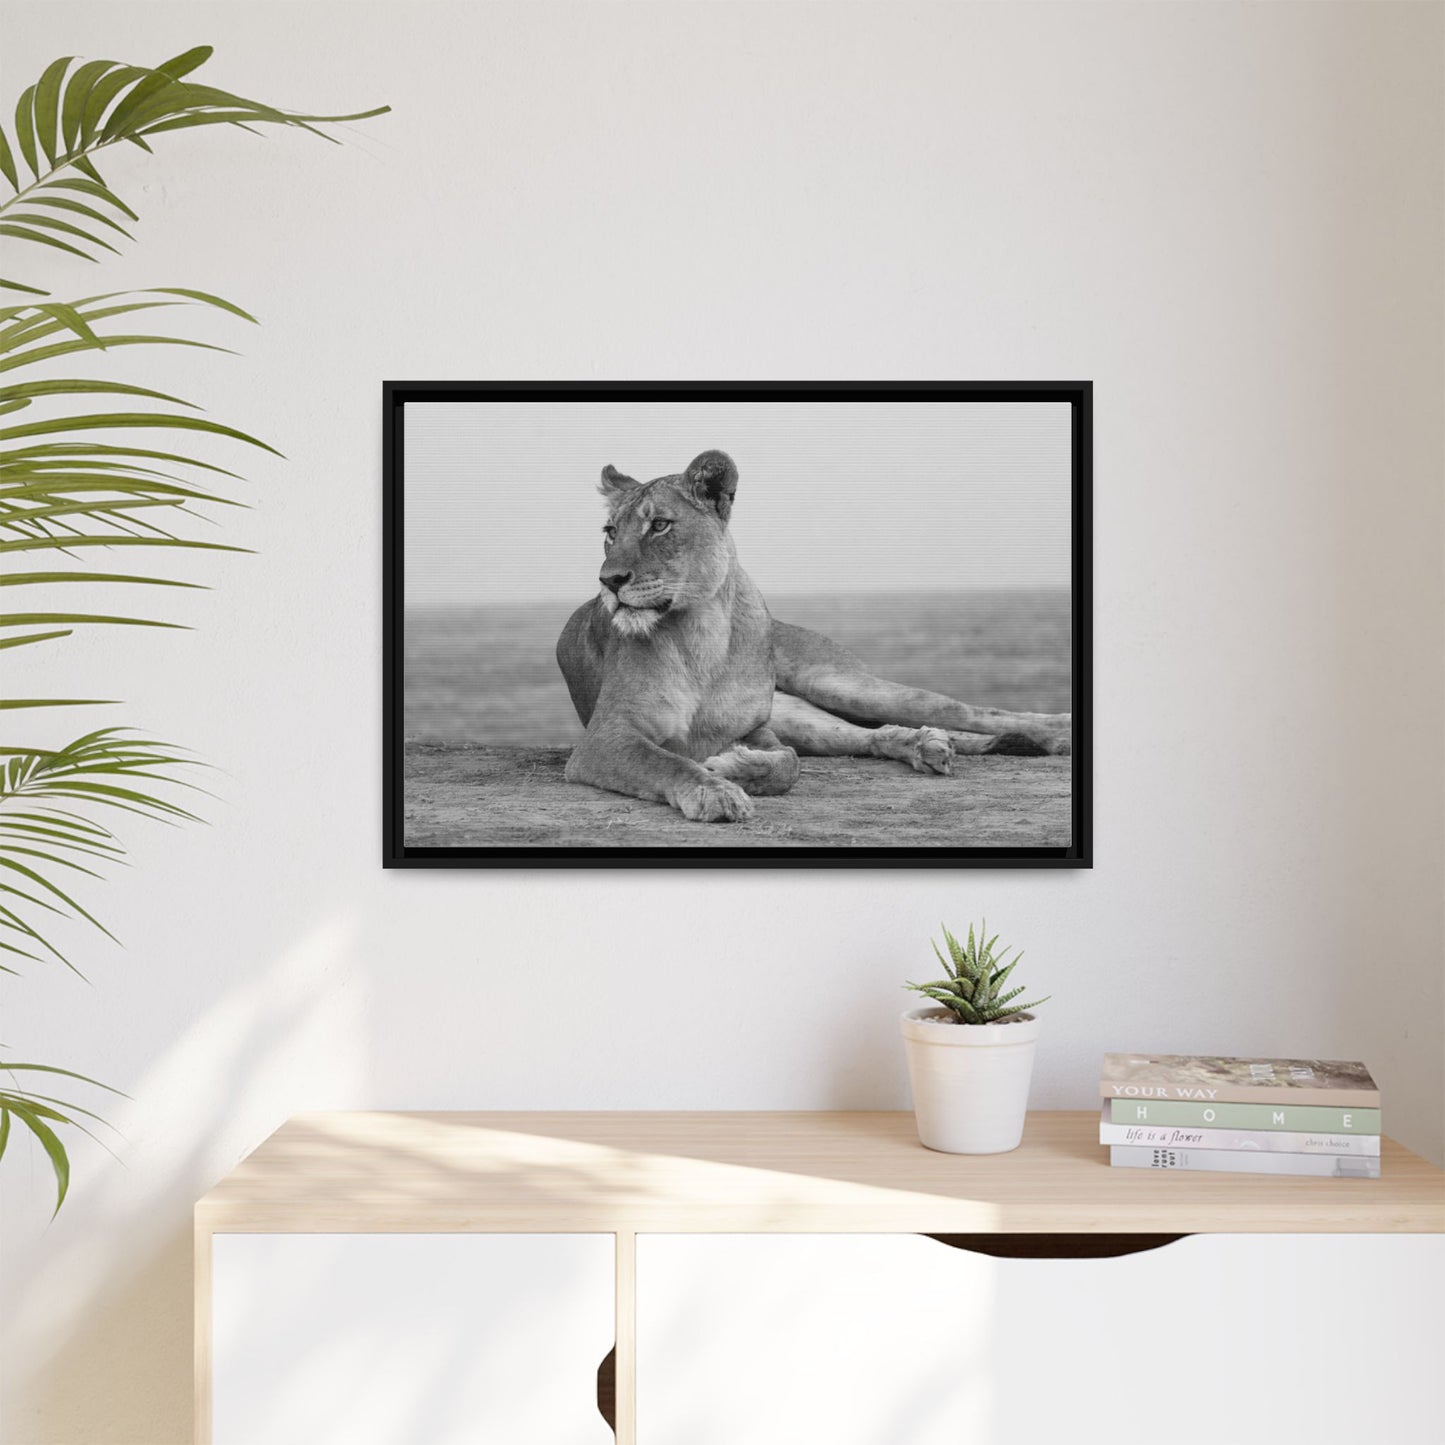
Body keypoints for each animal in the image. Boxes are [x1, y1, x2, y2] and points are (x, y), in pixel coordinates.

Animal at [555, 450, 1071, 823]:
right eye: (610, 532)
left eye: (659, 525)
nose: (608, 581)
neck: (701, 634)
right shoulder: (606, 737)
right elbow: (668, 760)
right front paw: (716, 789)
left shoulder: (755, 728)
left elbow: (789, 765)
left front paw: (729, 768)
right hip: (803, 715)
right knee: (872, 735)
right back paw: (926, 745)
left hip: (837, 683)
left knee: (968, 711)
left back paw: (1056, 731)